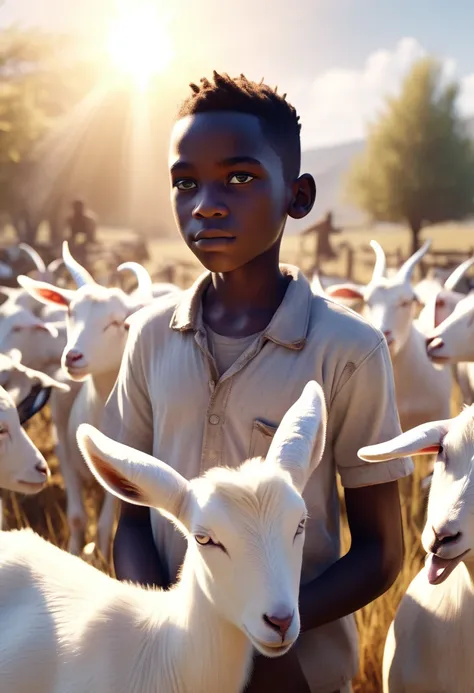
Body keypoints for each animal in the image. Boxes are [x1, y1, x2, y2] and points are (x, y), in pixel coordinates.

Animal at [17, 243, 174, 556]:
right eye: (70, 311)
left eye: (120, 323)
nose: (73, 356)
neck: (98, 413)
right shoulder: (63, 454)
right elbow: (77, 518)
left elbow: (103, 529)